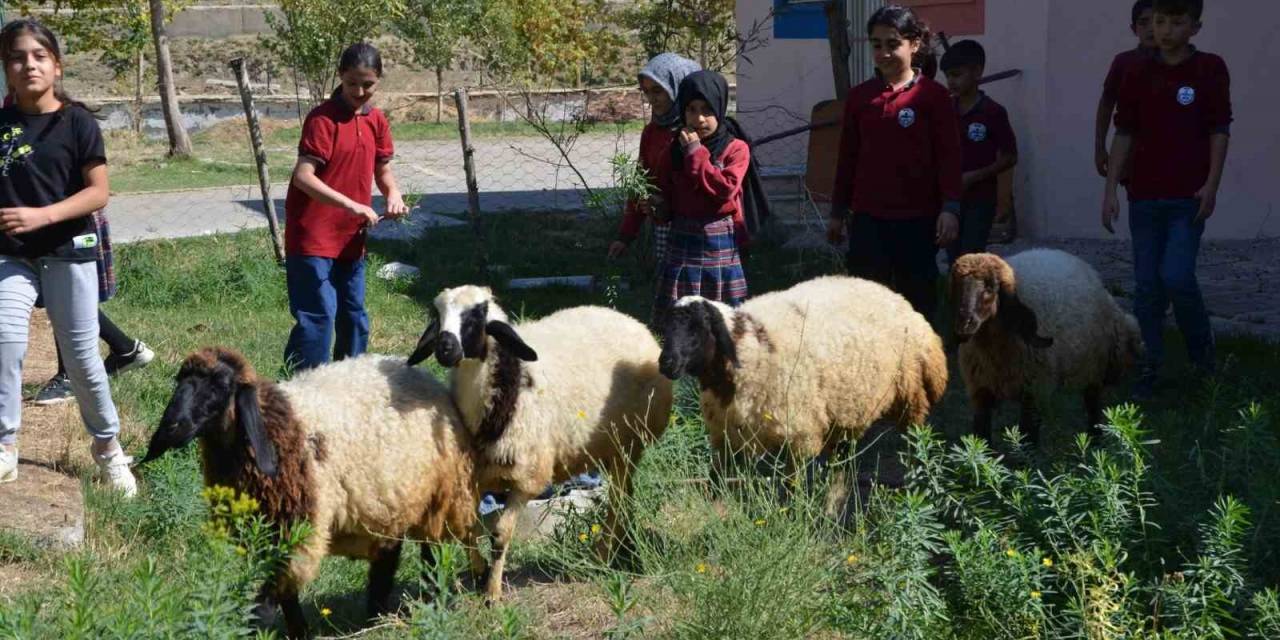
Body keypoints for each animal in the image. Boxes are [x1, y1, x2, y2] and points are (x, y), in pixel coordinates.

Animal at [140, 350, 478, 640]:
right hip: (388, 501)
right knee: (387, 556)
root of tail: (417, 370)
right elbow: (286, 596)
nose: (172, 427)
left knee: (432, 556)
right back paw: (376, 615)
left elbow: (267, 601)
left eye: (221, 385)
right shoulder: (268, 532)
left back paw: (426, 604)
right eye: (180, 381)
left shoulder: (296, 530)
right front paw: (299, 632)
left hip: (440, 497)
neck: (275, 430)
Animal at [409, 286, 675, 604]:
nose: (445, 349)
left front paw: (493, 592)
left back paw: (602, 556)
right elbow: (468, 527)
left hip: (628, 443)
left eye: (476, 316)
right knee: (626, 496)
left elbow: (500, 534)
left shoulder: (528, 479)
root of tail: (631, 321)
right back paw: (622, 545)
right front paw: (479, 572)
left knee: (619, 501)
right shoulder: (477, 478)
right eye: (438, 316)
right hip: (612, 449)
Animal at [655, 275, 947, 509]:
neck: (749, 347)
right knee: (843, 461)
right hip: (847, 410)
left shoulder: (798, 432)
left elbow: (791, 485)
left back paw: (913, 487)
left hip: (911, 397)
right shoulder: (726, 433)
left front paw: (789, 515)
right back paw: (834, 503)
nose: (665, 363)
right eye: (666, 328)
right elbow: (713, 481)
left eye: (697, 329)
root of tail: (900, 300)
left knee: (914, 443)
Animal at [952, 249, 1141, 445]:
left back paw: (1095, 439)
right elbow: (981, 435)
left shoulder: (1035, 390)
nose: (964, 323)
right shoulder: (980, 390)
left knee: (1093, 404)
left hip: (1093, 368)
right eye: (957, 286)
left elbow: (1028, 435)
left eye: (990, 288)